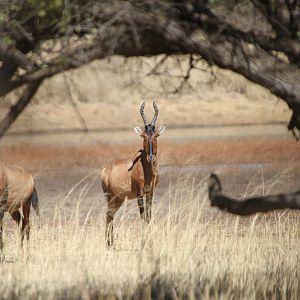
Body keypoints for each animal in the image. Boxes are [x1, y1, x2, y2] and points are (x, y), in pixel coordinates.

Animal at [101, 101, 166, 246]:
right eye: (143, 136)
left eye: (156, 135)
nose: (151, 157)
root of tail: (105, 169)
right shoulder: (139, 193)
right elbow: (142, 216)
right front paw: (144, 243)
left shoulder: (150, 192)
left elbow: (148, 216)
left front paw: (150, 242)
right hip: (110, 196)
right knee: (108, 215)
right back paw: (109, 243)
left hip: (118, 198)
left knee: (111, 215)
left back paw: (111, 243)